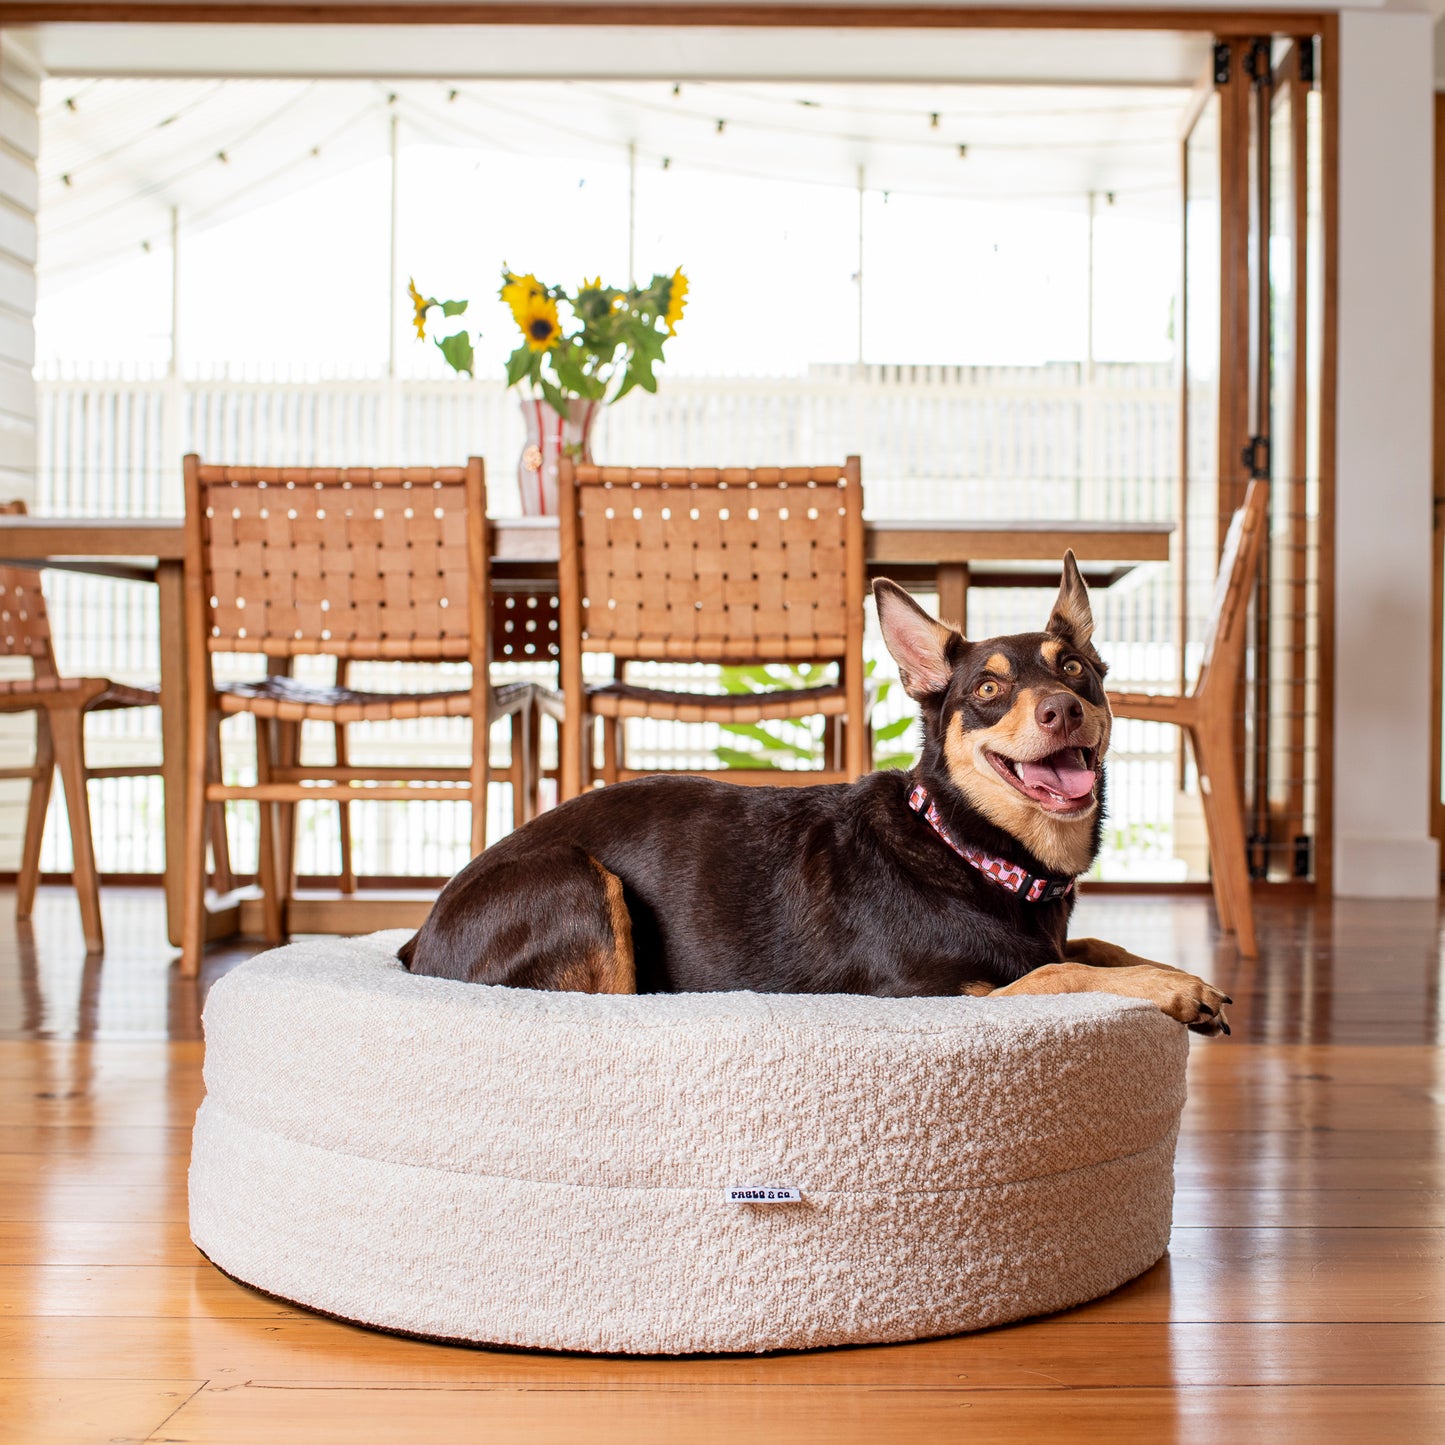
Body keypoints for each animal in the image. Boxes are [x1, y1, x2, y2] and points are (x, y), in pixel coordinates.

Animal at [398, 554, 1231, 1040]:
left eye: (1076, 669)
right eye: (988, 690)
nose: (1061, 708)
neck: (968, 846)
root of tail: (416, 941)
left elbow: (1093, 948)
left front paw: (1168, 972)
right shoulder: (933, 992)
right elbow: (1063, 971)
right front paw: (1175, 986)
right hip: (579, 881)